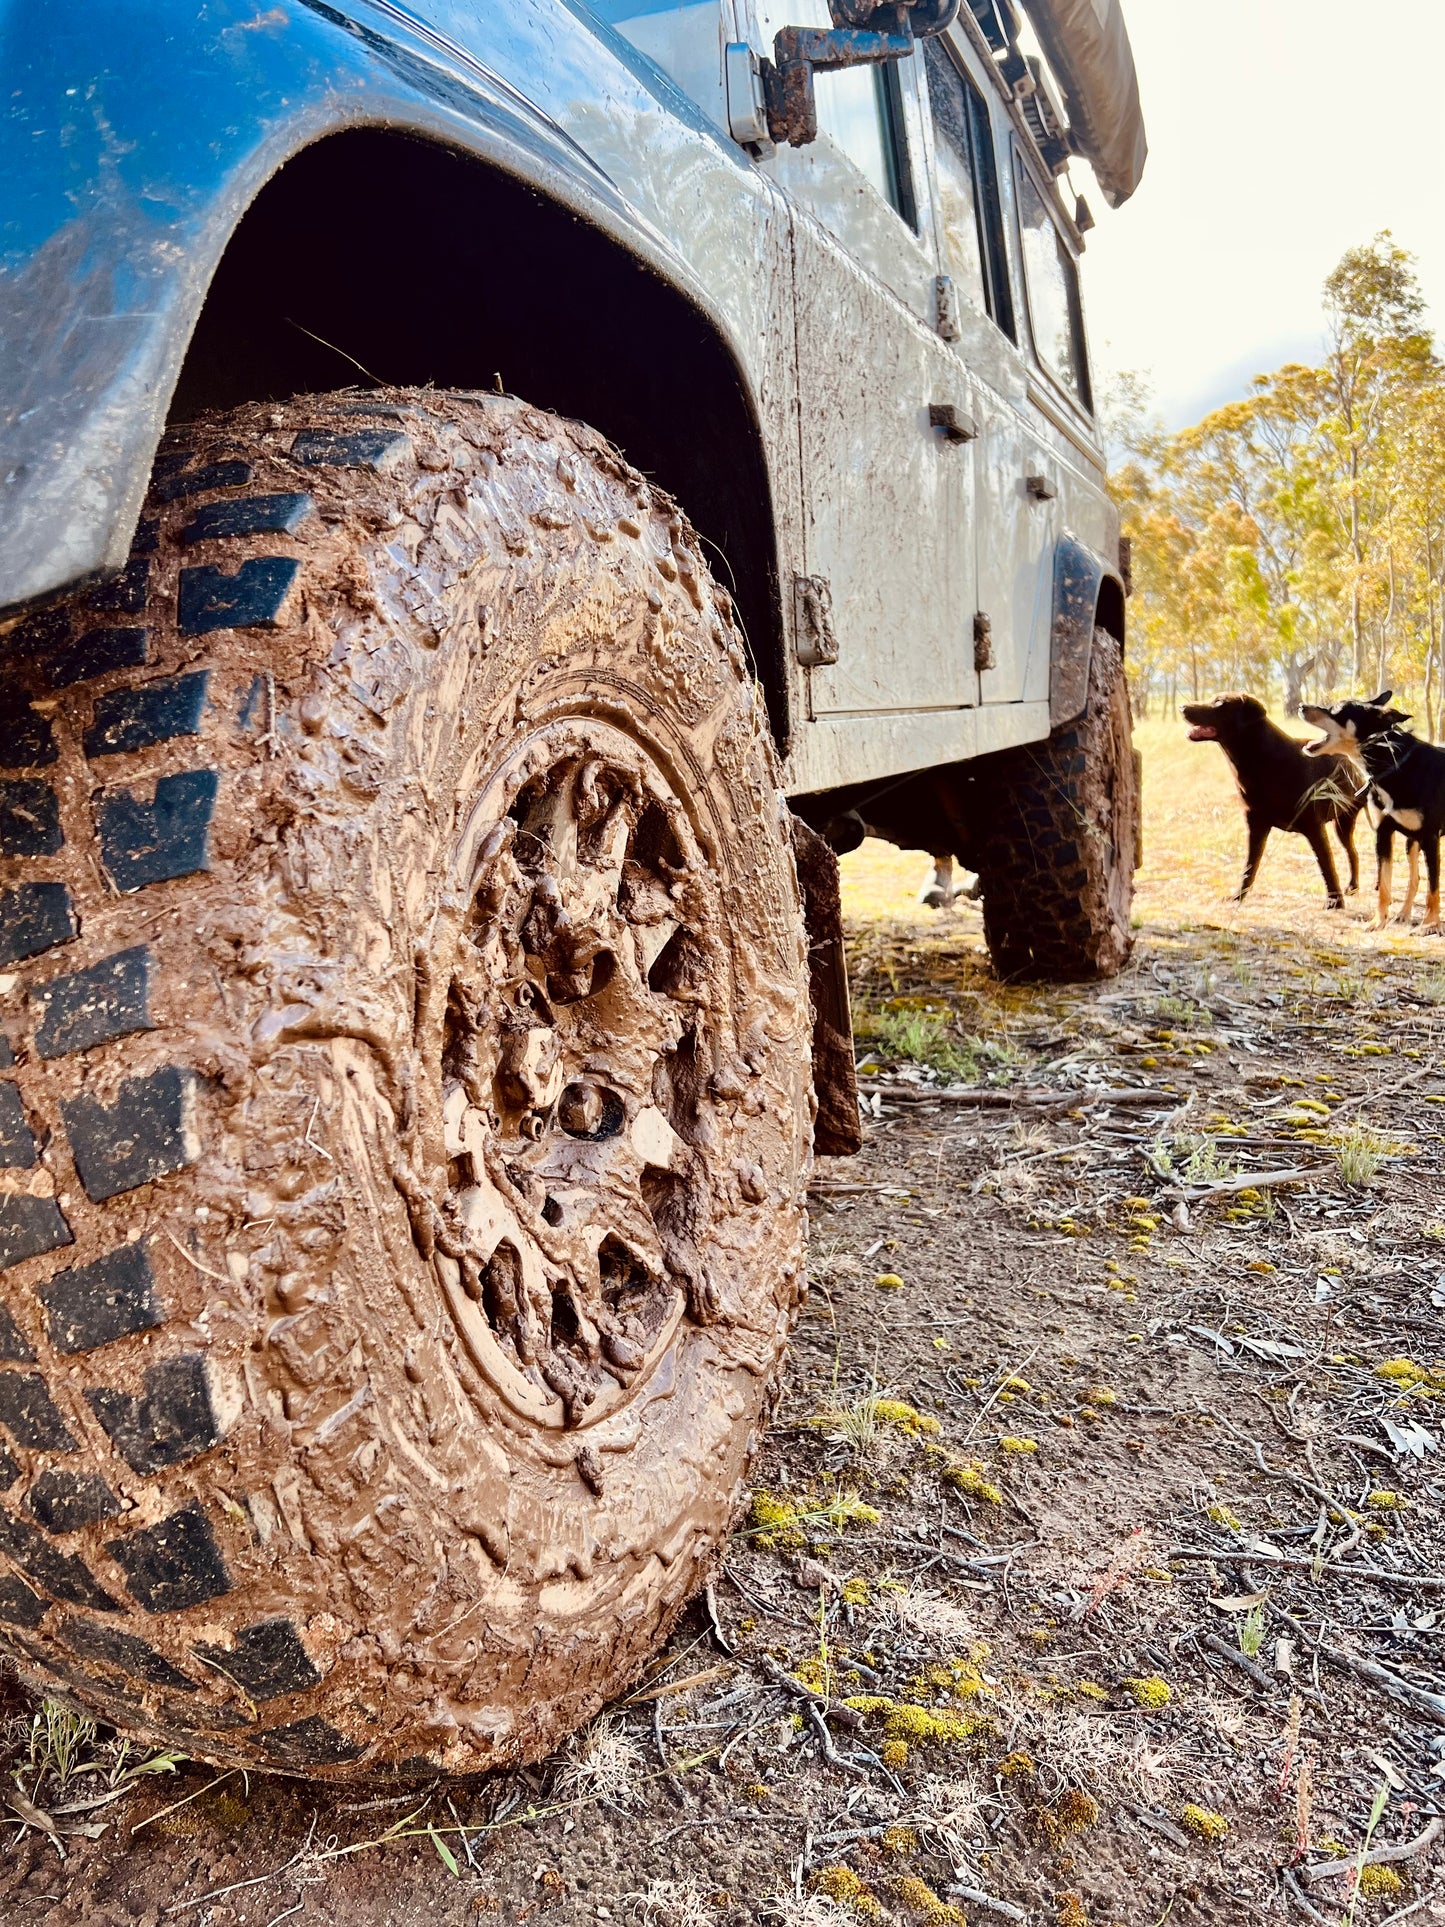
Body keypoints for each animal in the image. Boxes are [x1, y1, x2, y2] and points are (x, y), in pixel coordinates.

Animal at [1179, 693, 1364, 909]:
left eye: (1219, 703)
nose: (1182, 708)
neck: (1263, 761)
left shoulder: (1314, 828)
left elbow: (1326, 865)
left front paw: (1335, 901)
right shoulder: (1256, 826)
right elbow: (1249, 867)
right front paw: (1238, 897)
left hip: (1347, 821)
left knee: (1353, 853)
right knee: (1353, 852)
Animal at [1302, 693, 1445, 932]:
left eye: (1337, 709)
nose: (1301, 706)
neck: (1393, 765)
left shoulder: (1430, 837)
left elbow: (1432, 888)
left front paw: (1430, 925)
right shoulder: (1383, 834)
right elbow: (1385, 885)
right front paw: (1378, 921)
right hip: (1411, 843)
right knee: (1414, 879)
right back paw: (1403, 914)